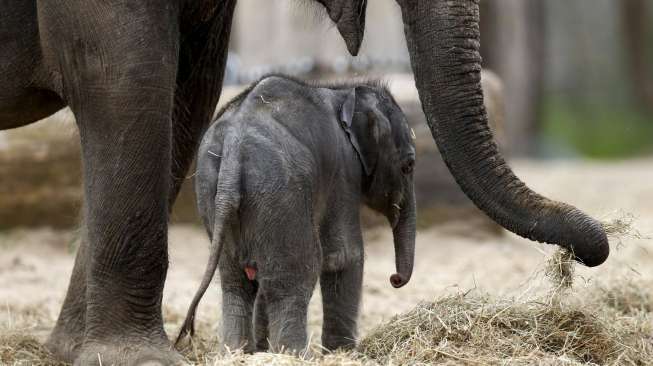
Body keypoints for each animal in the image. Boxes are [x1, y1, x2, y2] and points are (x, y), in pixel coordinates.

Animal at [176, 75, 416, 354]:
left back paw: (237, 352)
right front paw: (343, 353)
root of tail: (233, 151)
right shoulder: (343, 173)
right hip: (279, 187)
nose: (395, 279)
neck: (343, 91)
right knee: (296, 274)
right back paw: (294, 354)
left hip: (212, 188)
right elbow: (344, 255)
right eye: (408, 166)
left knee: (237, 281)